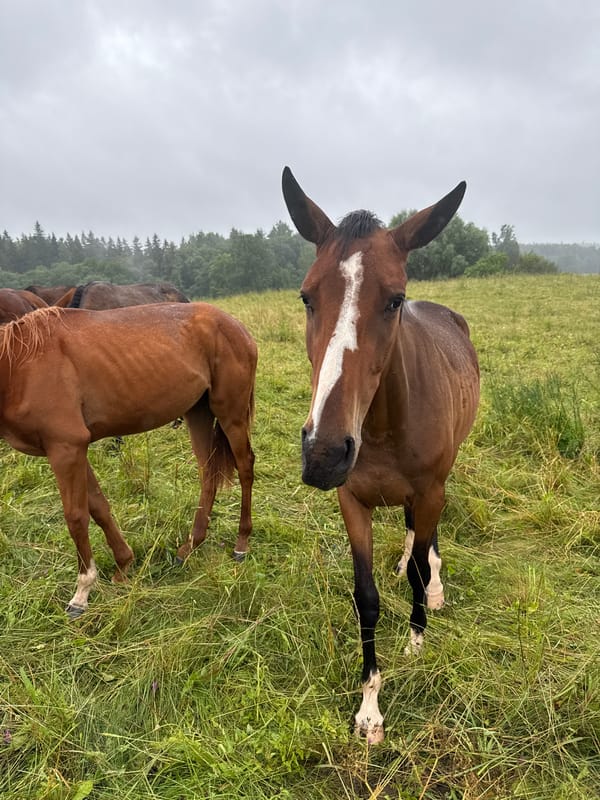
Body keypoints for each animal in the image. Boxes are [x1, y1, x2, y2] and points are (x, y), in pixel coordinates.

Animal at [0, 303, 257, 618]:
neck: (19, 366)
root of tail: (235, 325)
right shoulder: (72, 450)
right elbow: (98, 507)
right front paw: (123, 565)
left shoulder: (65, 448)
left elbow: (76, 517)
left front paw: (82, 592)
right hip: (198, 412)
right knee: (208, 474)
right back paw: (191, 546)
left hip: (231, 414)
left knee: (245, 467)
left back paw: (241, 542)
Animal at [282, 167, 480, 743]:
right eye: (306, 297)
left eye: (394, 299)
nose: (324, 453)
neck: (384, 426)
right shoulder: (352, 502)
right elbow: (365, 597)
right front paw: (369, 706)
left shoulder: (431, 488)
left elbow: (418, 567)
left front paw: (417, 638)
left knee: (425, 539)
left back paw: (432, 587)